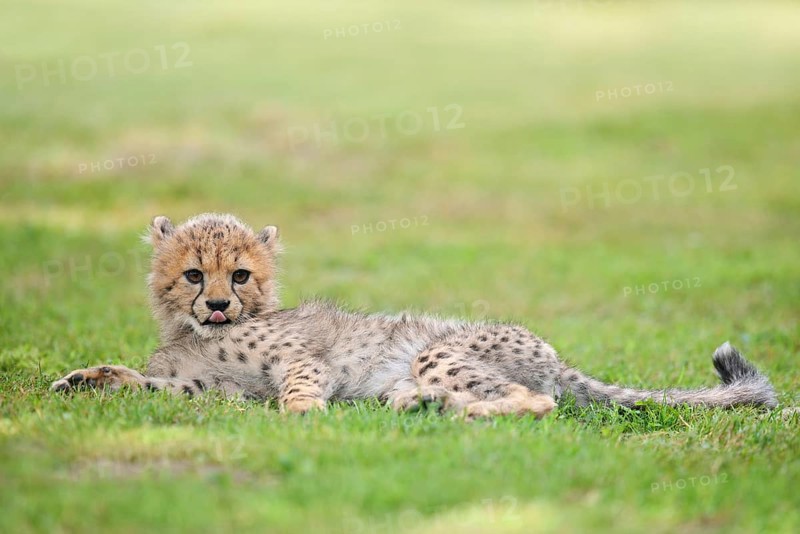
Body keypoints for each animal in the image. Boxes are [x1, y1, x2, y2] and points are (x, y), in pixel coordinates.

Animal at [51, 213, 778, 418]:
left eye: (240, 275)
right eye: (195, 274)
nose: (221, 304)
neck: (194, 332)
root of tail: (554, 353)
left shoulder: (300, 358)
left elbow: (300, 385)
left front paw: (302, 415)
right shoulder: (204, 388)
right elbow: (143, 382)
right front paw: (83, 379)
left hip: (441, 349)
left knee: (535, 404)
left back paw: (453, 411)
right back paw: (419, 406)